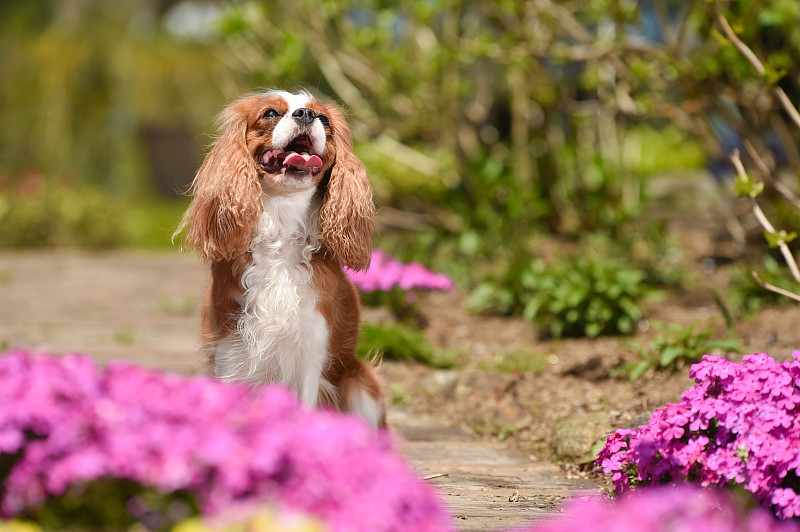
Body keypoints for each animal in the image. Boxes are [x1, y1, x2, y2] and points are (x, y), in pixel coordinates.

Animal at [176, 88, 388, 428]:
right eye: (271, 113)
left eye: (324, 118)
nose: (306, 114)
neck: (282, 224)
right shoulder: (230, 348)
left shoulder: (311, 350)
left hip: (360, 383)